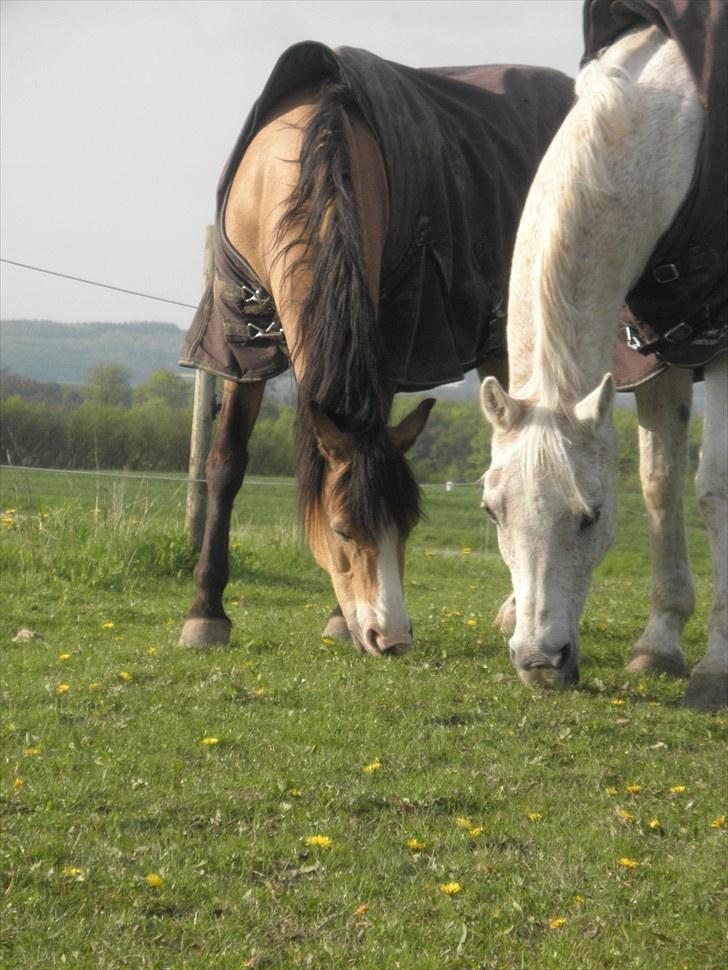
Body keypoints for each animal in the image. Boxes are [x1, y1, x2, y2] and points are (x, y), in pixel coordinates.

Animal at [178, 43, 574, 656]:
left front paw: (337, 621)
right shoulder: (242, 341)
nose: (391, 638)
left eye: (407, 525)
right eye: (342, 528)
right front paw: (206, 613)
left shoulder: (390, 332)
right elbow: (225, 464)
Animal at [479, 7, 727, 710]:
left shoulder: (717, 343)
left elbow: (712, 488)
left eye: (589, 518)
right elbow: (658, 484)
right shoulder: (661, 352)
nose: (540, 661)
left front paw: (716, 666)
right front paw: (660, 642)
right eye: (492, 511)